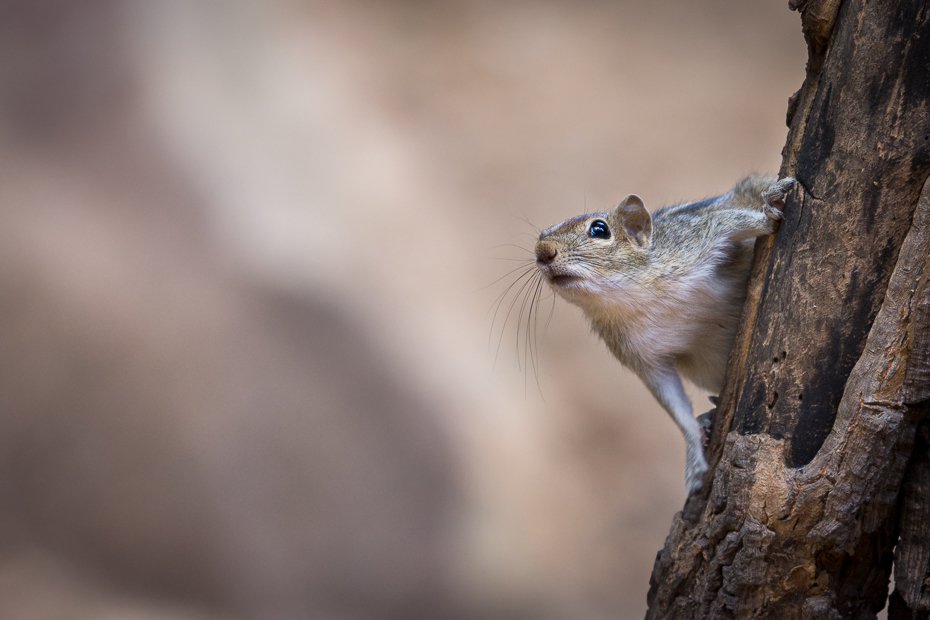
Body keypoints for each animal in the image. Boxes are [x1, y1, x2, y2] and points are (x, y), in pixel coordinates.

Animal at [532, 176, 792, 494]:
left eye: (599, 229)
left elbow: (733, 221)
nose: (542, 252)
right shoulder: (641, 357)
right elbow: (673, 403)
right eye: (541, 235)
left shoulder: (695, 238)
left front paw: (769, 209)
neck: (633, 294)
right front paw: (693, 455)